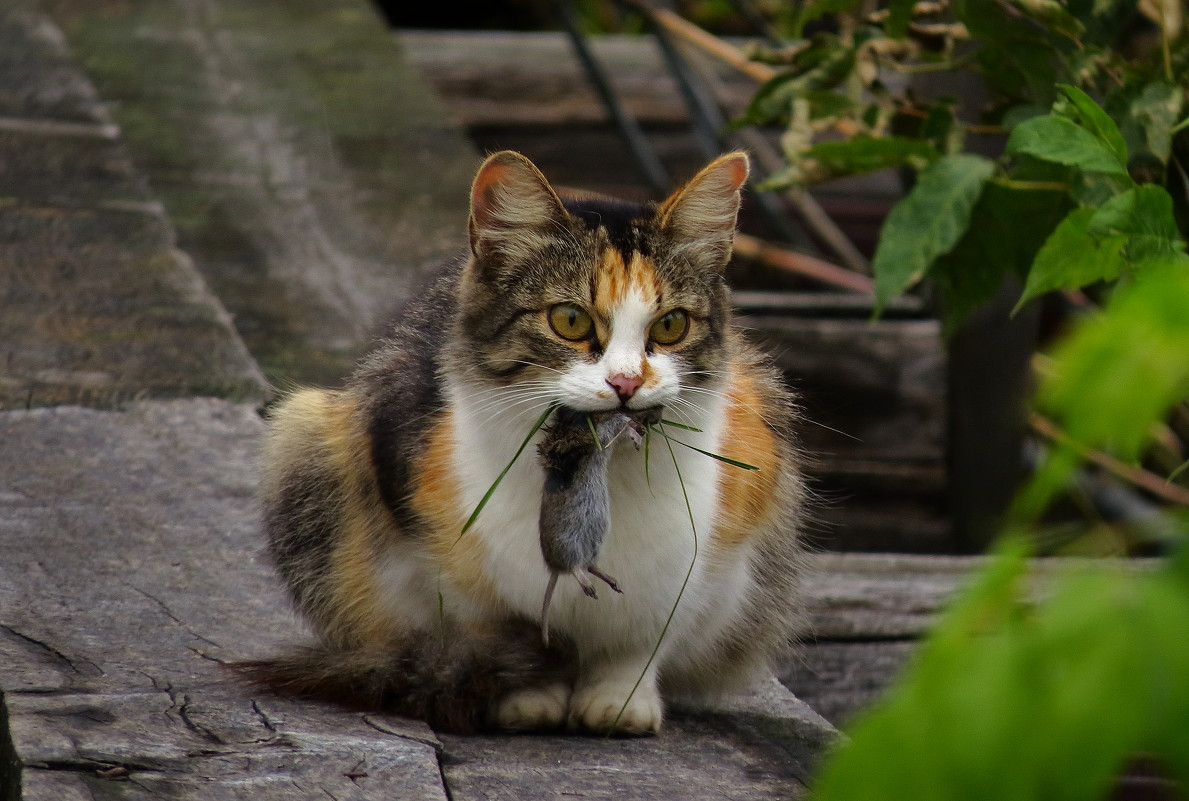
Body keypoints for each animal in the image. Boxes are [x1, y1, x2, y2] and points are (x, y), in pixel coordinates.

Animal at [248, 149, 808, 736]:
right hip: (305, 433)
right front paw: (528, 699)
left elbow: (639, 643)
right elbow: (501, 636)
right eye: (570, 320)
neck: (603, 482)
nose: (626, 382)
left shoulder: (692, 563)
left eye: (671, 326)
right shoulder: (452, 561)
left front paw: (619, 703)